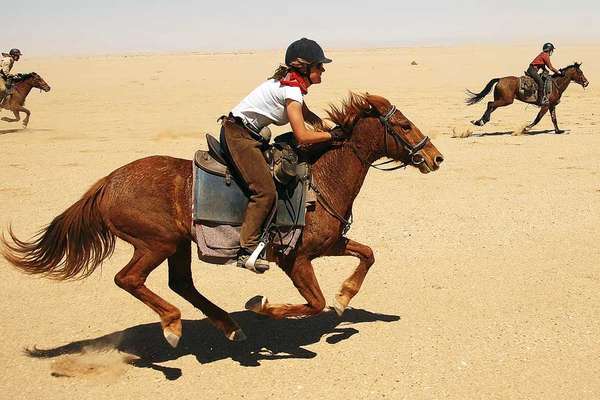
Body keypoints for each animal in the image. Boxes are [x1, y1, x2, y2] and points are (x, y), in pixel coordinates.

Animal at [1, 93, 446, 346]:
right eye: (404, 125)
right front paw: (264, 307)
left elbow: (367, 255)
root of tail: (108, 183)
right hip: (155, 242)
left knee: (180, 283)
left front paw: (345, 297)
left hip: (178, 244)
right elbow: (313, 303)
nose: (436, 156)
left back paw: (228, 326)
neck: (320, 178)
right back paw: (173, 325)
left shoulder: (330, 244)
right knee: (129, 279)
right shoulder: (295, 259)